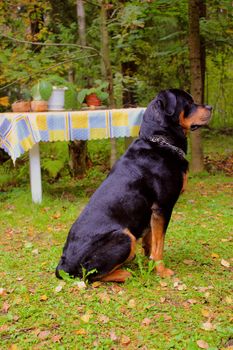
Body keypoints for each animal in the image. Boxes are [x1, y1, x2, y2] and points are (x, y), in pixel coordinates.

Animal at [55, 89, 212, 284]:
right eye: (189, 103)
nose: (210, 107)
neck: (160, 141)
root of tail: (63, 266)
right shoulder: (163, 206)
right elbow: (160, 243)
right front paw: (161, 271)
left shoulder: (152, 212)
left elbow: (152, 239)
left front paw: (150, 263)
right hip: (124, 236)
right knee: (90, 274)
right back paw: (126, 273)